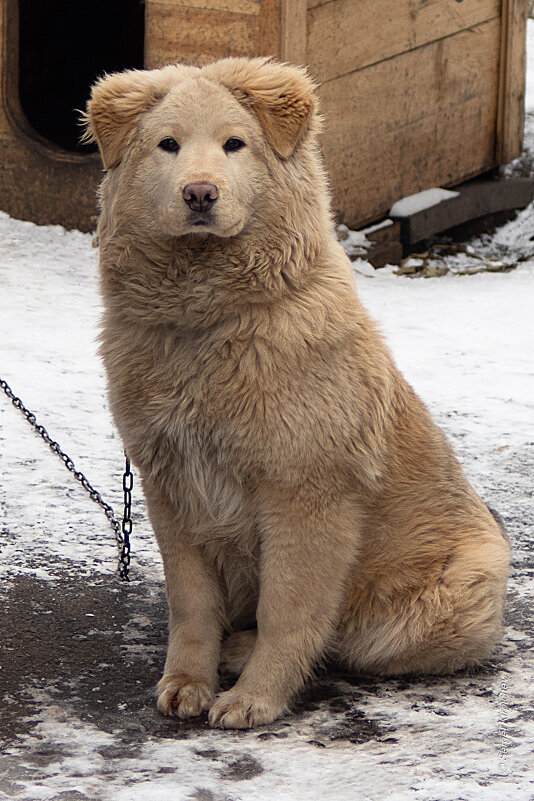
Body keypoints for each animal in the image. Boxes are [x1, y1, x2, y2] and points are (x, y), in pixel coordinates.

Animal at [86, 59, 512, 728]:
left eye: (235, 144)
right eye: (168, 145)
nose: (200, 193)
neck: (207, 322)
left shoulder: (304, 492)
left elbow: (288, 611)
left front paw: (255, 698)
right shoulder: (172, 487)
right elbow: (191, 604)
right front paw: (186, 683)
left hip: (448, 596)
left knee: (349, 638)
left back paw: (246, 652)